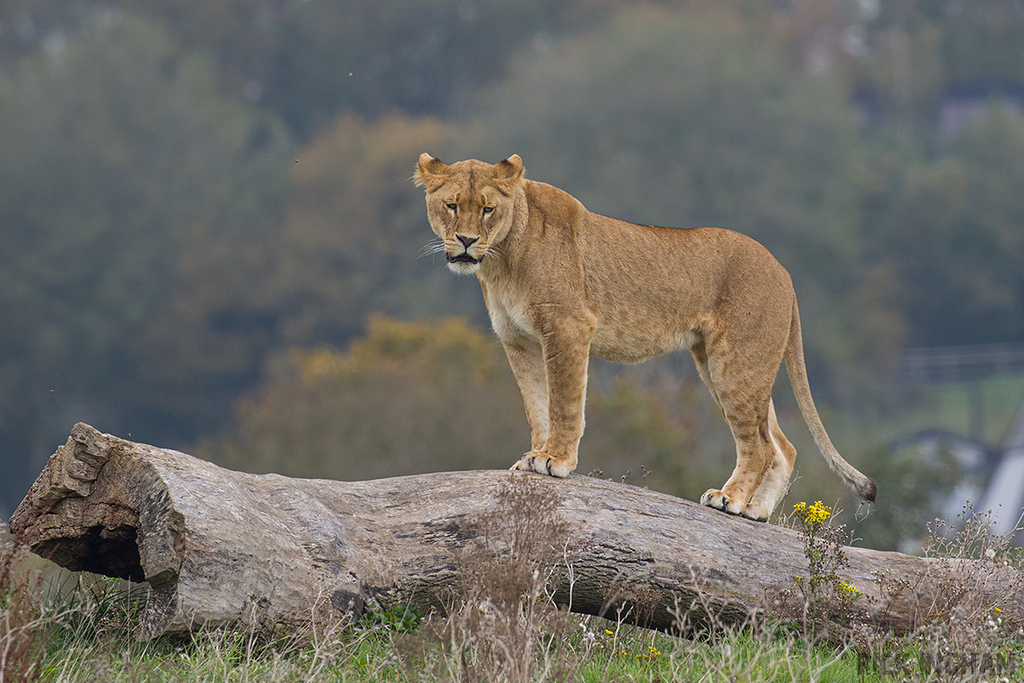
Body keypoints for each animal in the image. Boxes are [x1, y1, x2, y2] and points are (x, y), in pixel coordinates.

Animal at [414, 153, 876, 520]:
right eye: (451, 206)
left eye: (487, 209)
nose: (466, 240)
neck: (501, 258)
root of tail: (784, 273)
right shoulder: (520, 341)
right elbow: (536, 404)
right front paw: (533, 456)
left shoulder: (568, 327)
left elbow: (564, 402)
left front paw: (554, 460)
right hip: (733, 364)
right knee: (782, 444)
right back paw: (756, 511)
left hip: (735, 363)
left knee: (760, 446)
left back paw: (729, 500)